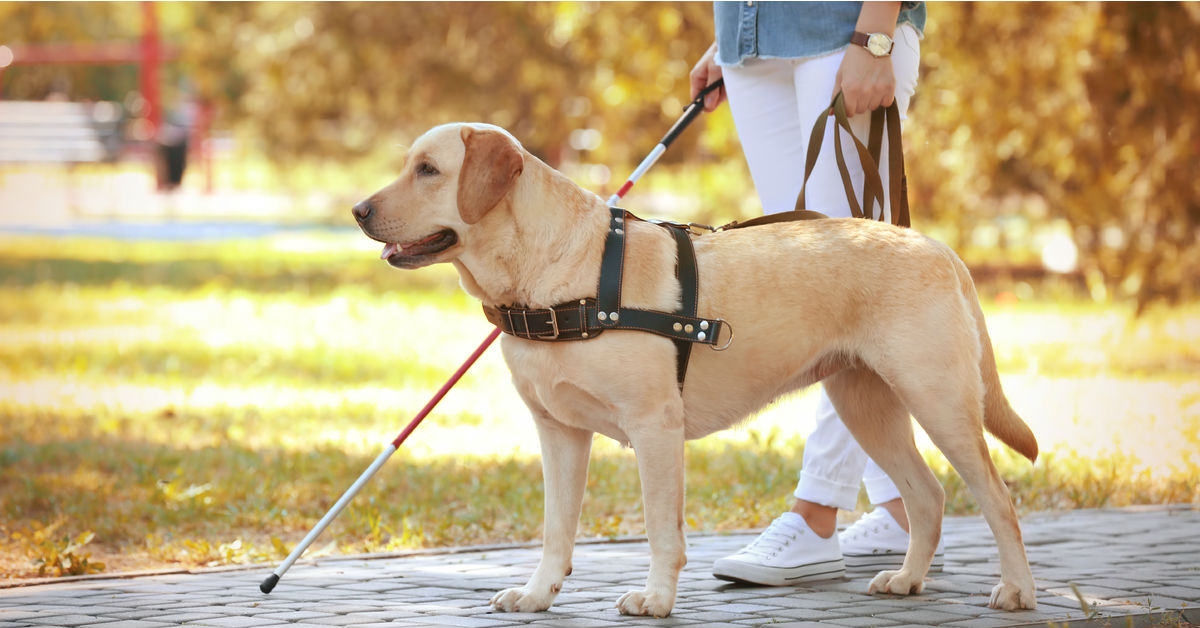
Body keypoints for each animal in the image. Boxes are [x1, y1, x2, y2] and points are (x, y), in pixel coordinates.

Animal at [350, 124, 1041, 619]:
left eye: (429, 171)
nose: (358, 210)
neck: (556, 274)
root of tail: (938, 247)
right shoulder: (559, 431)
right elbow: (556, 530)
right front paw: (539, 593)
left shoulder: (654, 427)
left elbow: (661, 529)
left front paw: (655, 599)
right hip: (865, 405)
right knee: (927, 496)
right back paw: (908, 579)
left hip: (939, 400)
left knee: (998, 498)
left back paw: (1017, 592)